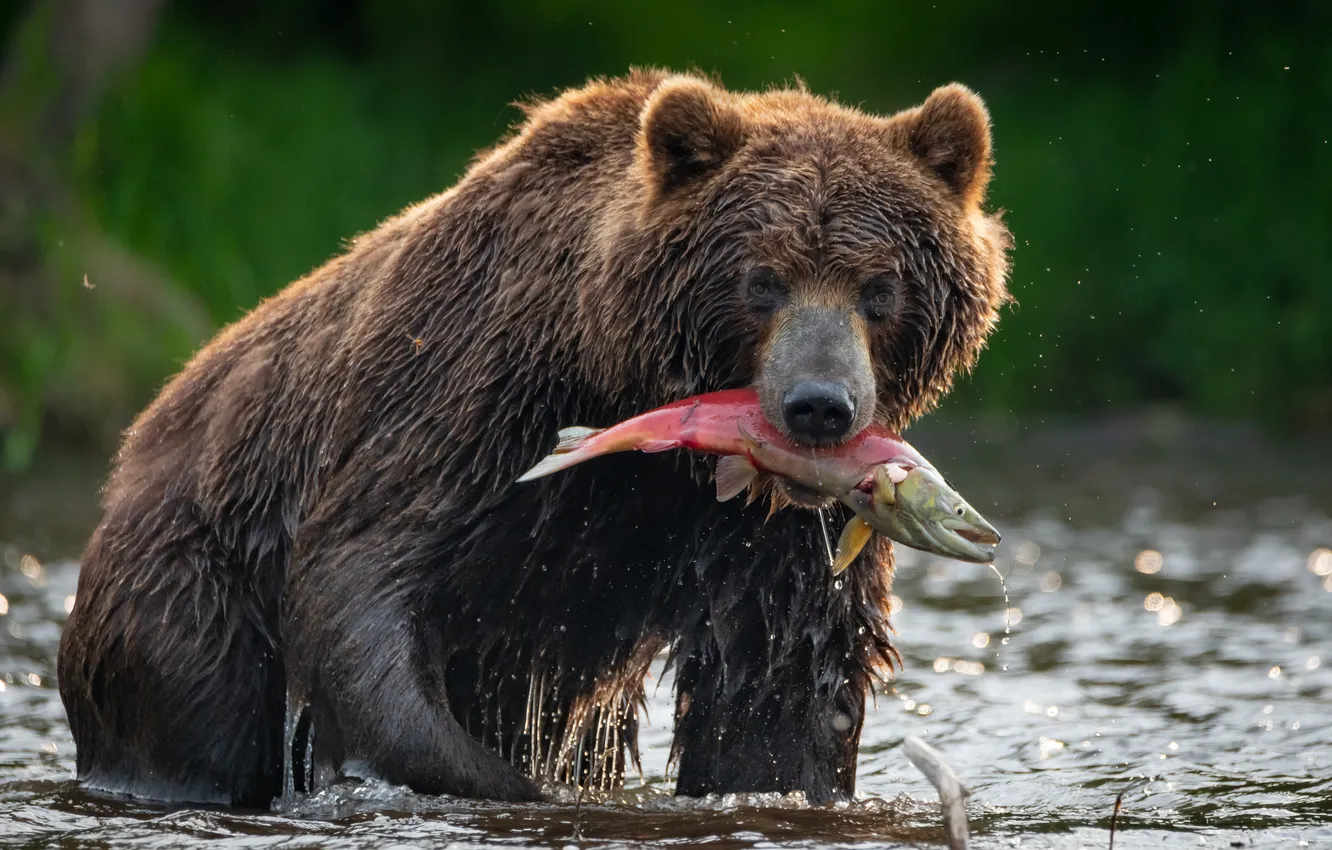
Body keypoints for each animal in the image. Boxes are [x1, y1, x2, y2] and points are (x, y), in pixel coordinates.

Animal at [57, 68, 1010, 807]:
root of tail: (135, 448)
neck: (613, 362)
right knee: (199, 705)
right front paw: (494, 782)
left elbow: (780, 682)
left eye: (879, 287)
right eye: (762, 279)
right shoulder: (469, 388)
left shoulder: (768, 532)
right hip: (194, 573)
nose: (818, 406)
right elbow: (361, 580)